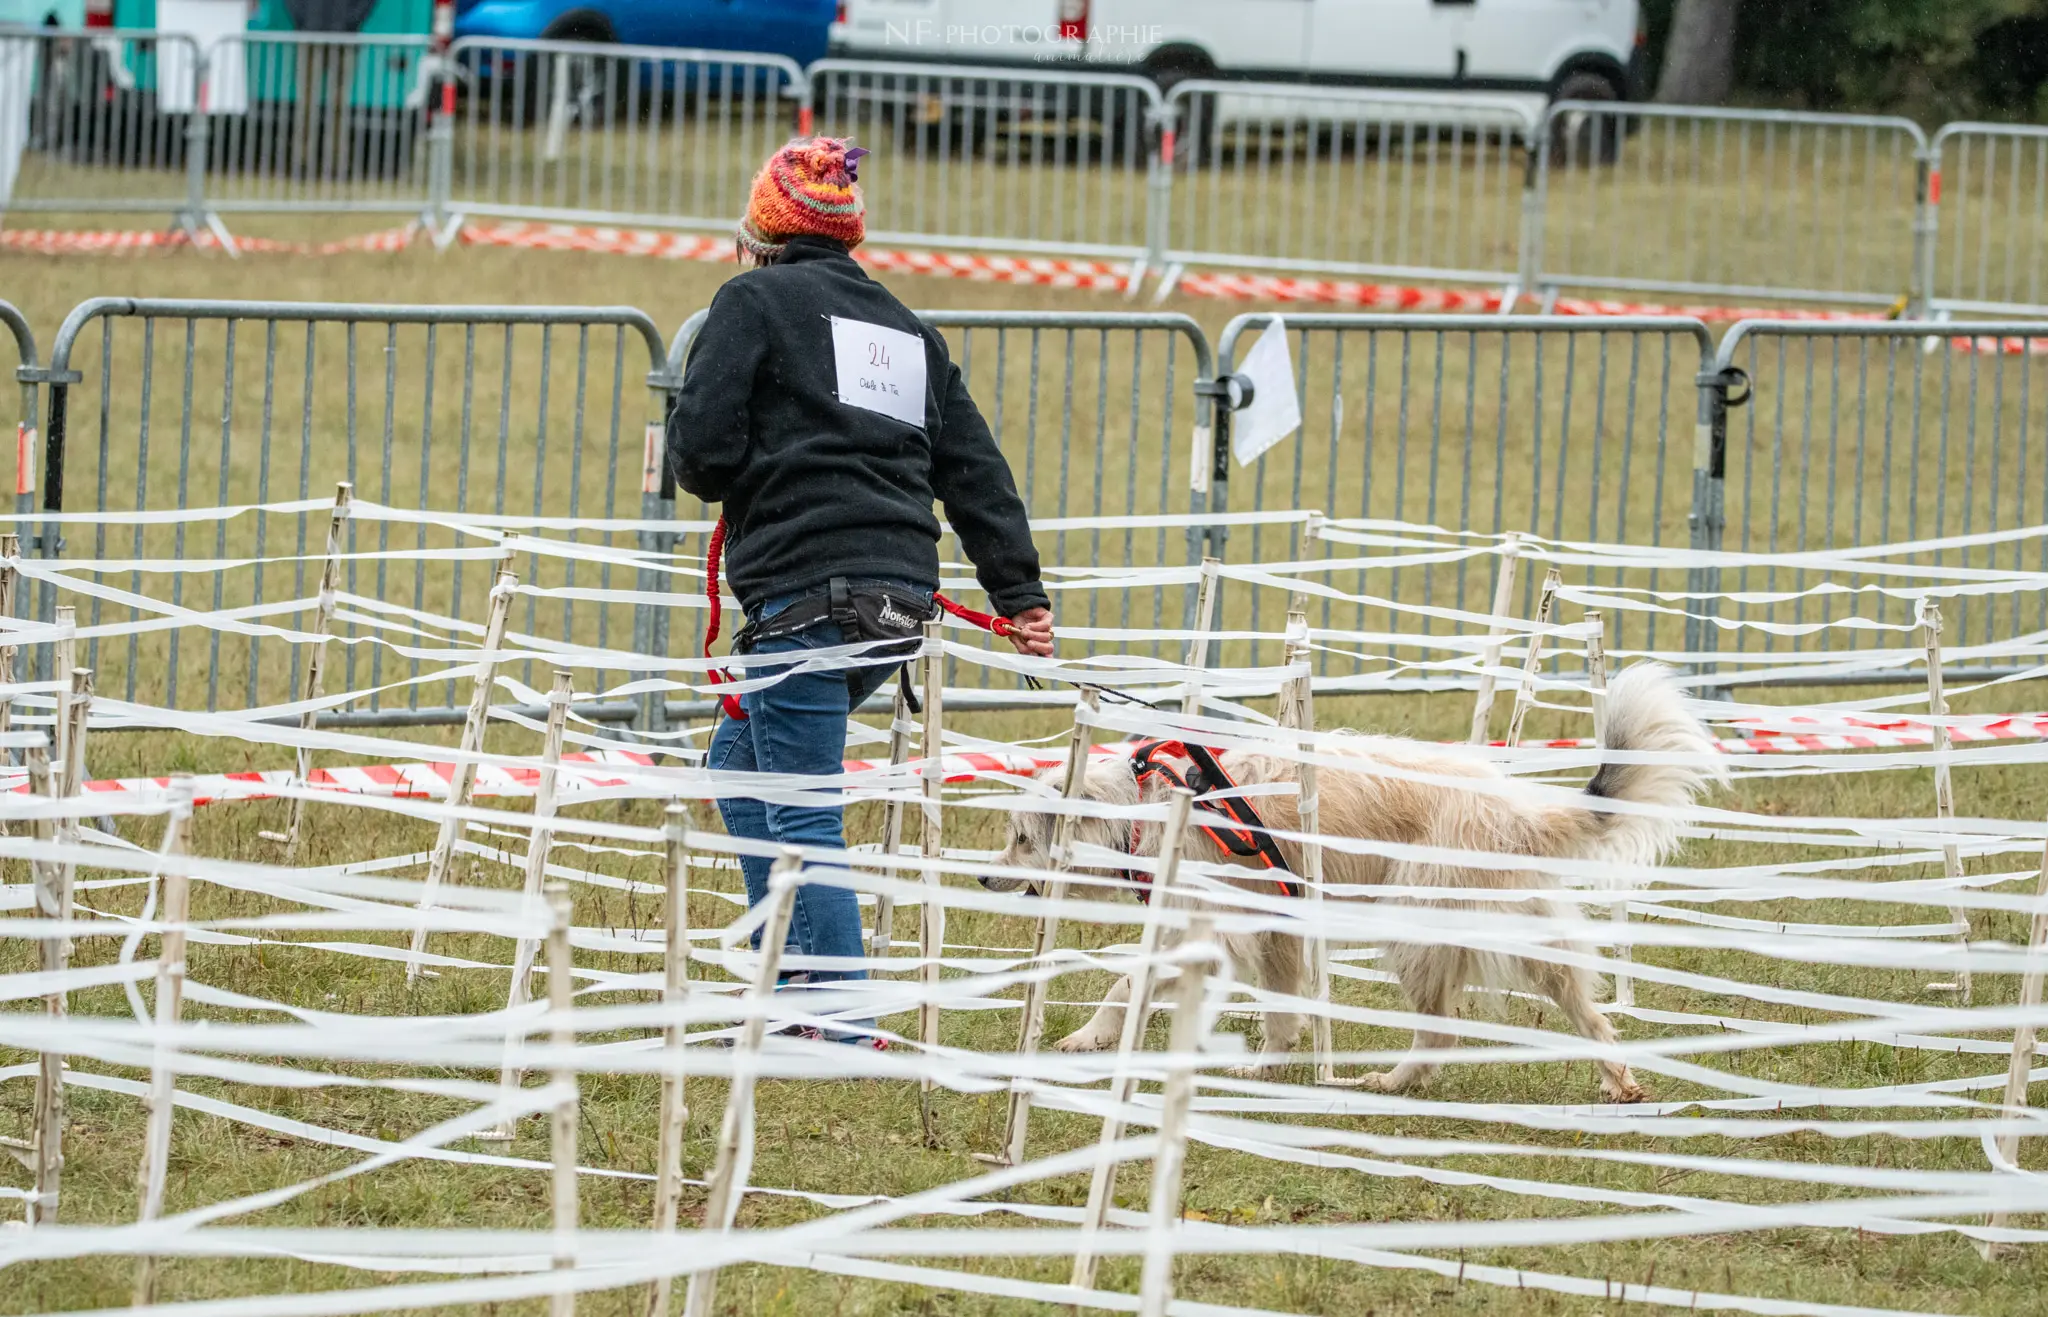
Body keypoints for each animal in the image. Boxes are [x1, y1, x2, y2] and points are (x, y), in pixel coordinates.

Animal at [983, 659, 1720, 1106]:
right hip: (1528, 938)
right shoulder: (1258, 932)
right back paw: (1620, 1082)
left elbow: (1136, 985)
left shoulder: (1227, 932)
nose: (986, 876)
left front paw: (1095, 1039)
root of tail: (1516, 808)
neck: (1139, 808)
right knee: (1587, 1013)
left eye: (1021, 837)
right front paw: (1256, 1069)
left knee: (1440, 1033)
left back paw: (1389, 1082)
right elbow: (1263, 1012)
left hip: (1417, 928)